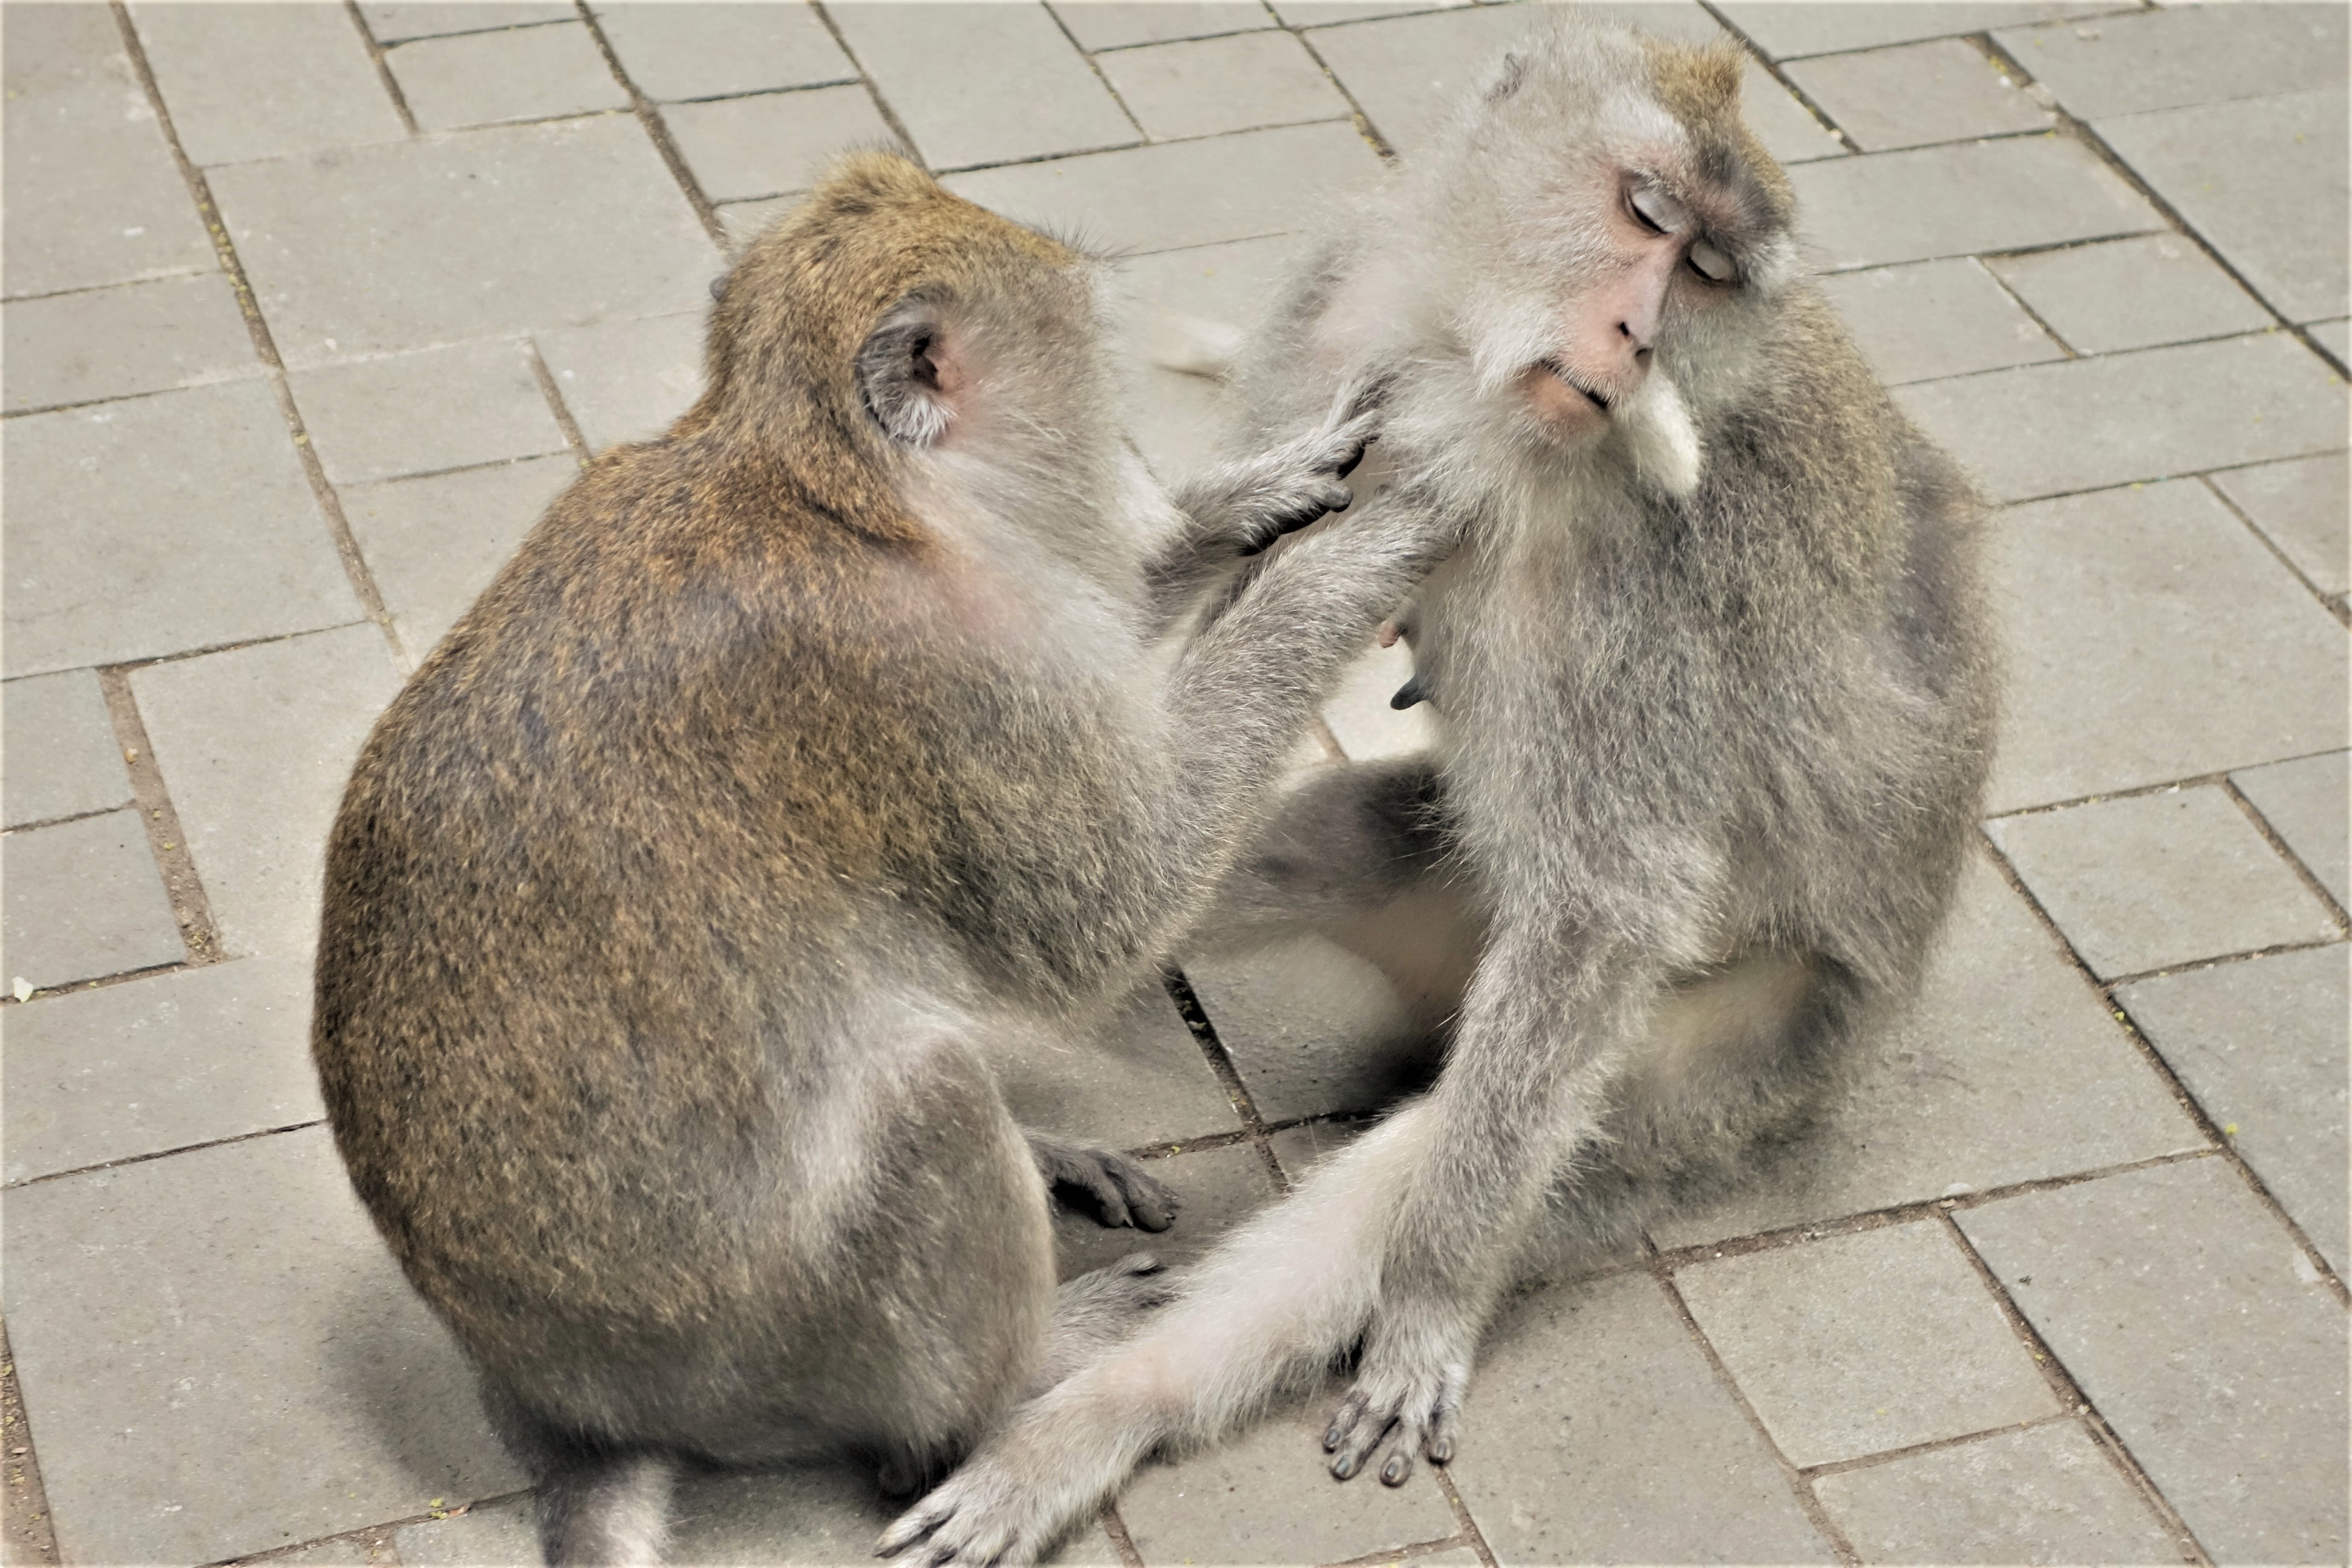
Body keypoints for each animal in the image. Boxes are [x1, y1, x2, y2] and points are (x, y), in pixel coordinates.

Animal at [309, 151, 1458, 1566]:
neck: (831, 491)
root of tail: (573, 1405)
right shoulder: (932, 680)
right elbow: (1108, 909)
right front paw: (1367, 543)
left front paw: (1262, 493)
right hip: (766, 1351)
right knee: (925, 1106)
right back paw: (1021, 1368)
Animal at [882, 17, 1999, 1565]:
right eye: (1644, 213)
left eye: (1709, 276)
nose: (1635, 334)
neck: (1466, 363)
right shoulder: (1332, 326)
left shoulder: (1655, 561)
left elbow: (1612, 896)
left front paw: (1424, 1308)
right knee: (1262, 864)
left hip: (1733, 1050)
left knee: (1454, 1128)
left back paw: (1103, 1414)